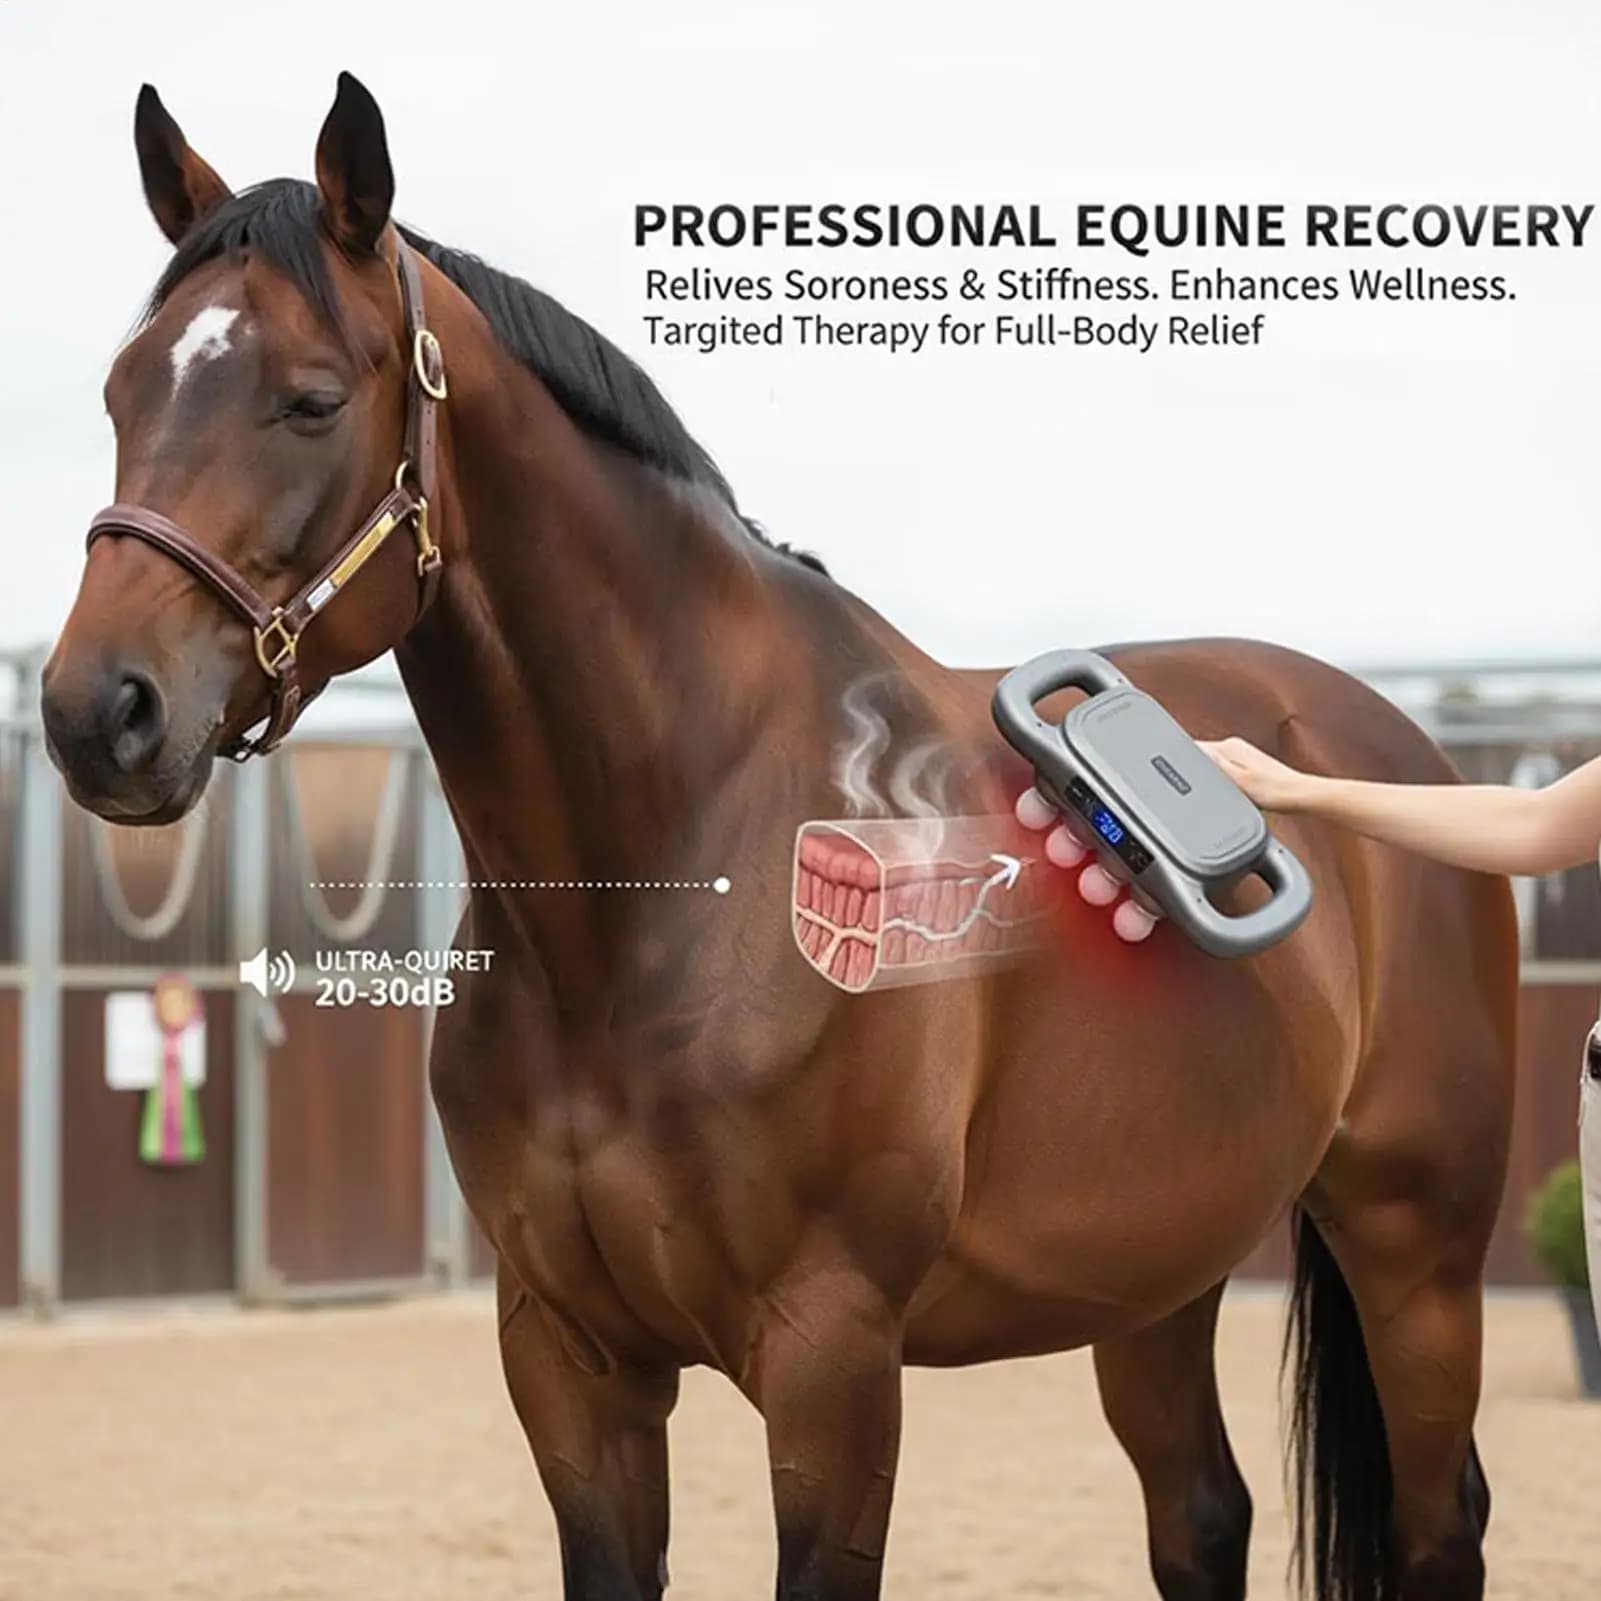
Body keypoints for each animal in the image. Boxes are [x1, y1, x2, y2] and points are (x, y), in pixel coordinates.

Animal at [43, 74, 1515, 1601]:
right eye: (120, 390)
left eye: (312, 400)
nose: (100, 713)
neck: (664, 884)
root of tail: (1379, 745)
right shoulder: (569, 1361)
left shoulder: (833, 1358)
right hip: (1154, 1265)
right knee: (1201, 1515)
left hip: (1416, 1250)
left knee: (1435, 1524)